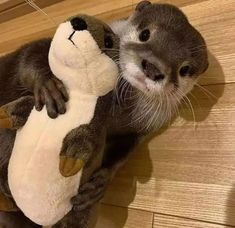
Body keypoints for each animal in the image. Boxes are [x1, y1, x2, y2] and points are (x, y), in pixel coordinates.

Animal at [0, 1, 208, 228]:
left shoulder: (139, 129)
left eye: (185, 69)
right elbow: (31, 53)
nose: (153, 68)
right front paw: (48, 85)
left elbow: (124, 150)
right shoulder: (39, 49)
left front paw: (101, 182)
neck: (116, 110)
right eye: (145, 34)